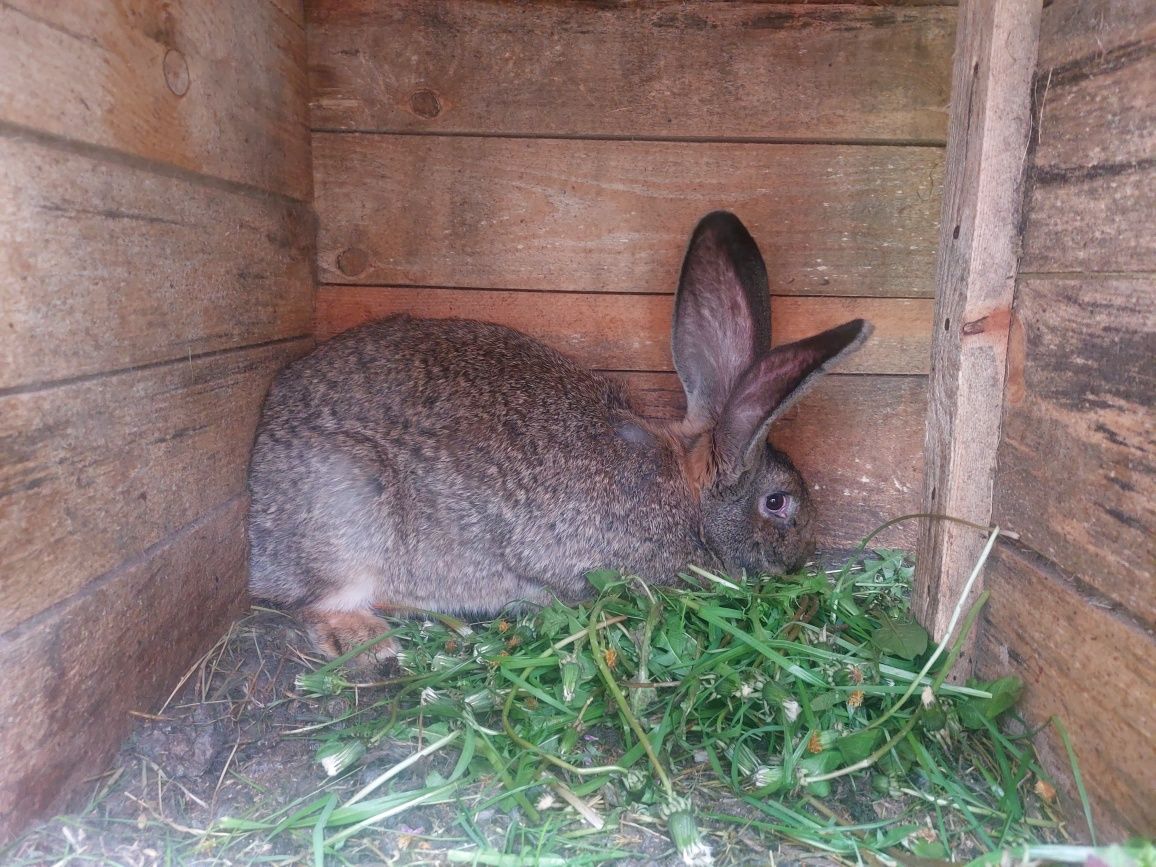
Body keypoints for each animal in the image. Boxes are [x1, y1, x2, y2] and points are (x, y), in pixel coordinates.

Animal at [248, 213, 869, 670]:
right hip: (350, 514)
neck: (688, 494)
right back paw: (369, 642)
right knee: (316, 602)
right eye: (777, 502)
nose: (804, 553)